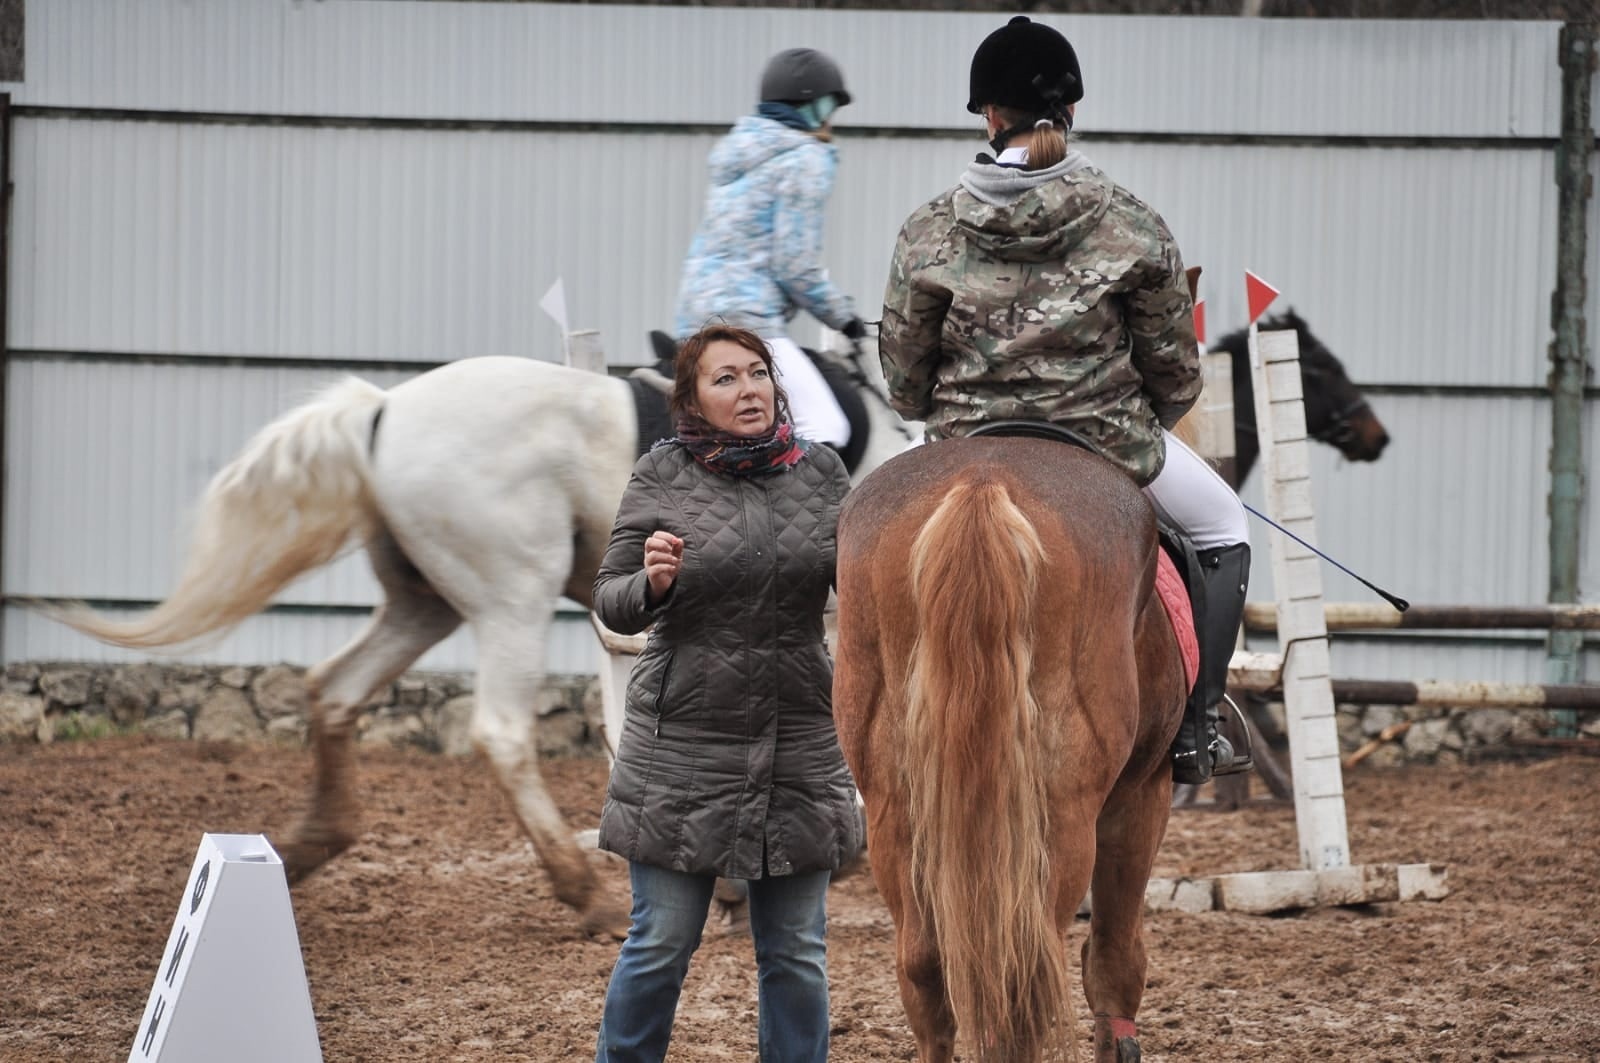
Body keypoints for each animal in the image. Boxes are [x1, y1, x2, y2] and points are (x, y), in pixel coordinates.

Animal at [50, 340, 915, 941]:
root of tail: (383, 411)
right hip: (512, 598)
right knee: (499, 732)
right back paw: (588, 894)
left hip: (424, 604)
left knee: (336, 689)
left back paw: (308, 844)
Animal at [838, 435, 1190, 1056]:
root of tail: (982, 484)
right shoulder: (1143, 793)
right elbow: (1115, 960)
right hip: (1062, 816)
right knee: (1023, 972)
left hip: (893, 807)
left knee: (926, 967)